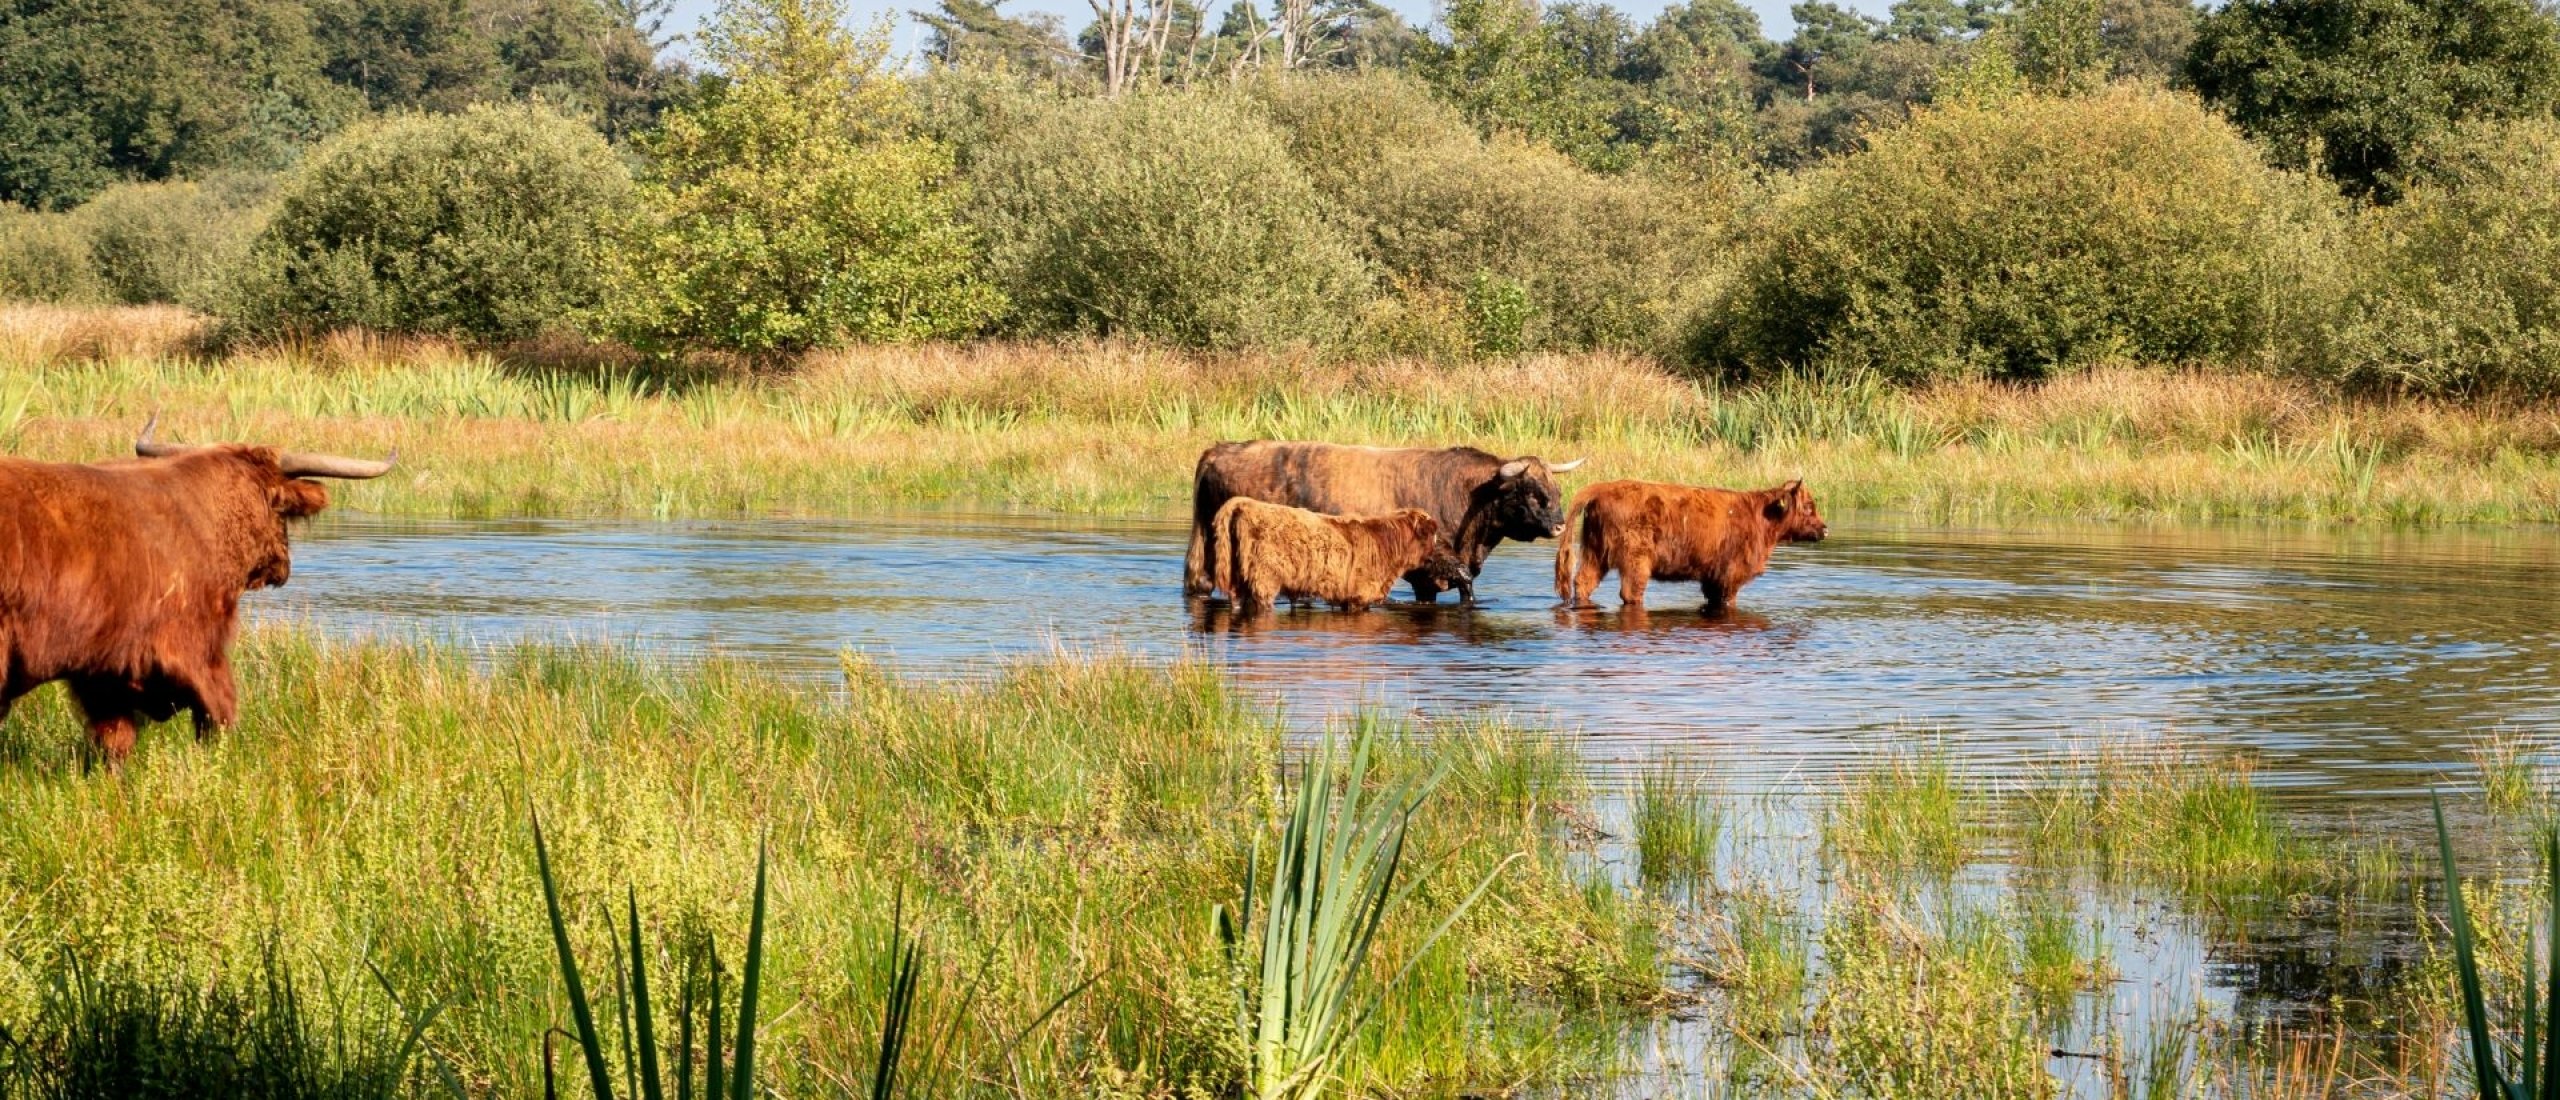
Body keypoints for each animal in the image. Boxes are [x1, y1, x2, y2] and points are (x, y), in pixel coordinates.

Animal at [0, 416, 389, 762]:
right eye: (280, 514)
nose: (283, 566)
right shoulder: (196, 644)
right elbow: (218, 710)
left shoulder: (102, 668)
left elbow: (114, 737)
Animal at [1182, 440, 1576, 601]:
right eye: (1531, 491)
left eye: (1555, 488)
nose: (1559, 525)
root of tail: (1220, 449)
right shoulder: (1432, 563)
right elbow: (1463, 581)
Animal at [1213, 501, 1454, 613]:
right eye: (1432, 536)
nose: (1438, 555)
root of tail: (1244, 504)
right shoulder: (1359, 595)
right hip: (1264, 581)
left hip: (1238, 581)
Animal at [1546, 478, 1832, 613]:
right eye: (1808, 506)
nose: (1825, 528)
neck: (1761, 518)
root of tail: (1602, 488)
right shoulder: (1730, 576)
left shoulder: (1712, 578)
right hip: (1636, 559)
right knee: (1630, 592)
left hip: (1596, 552)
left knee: (1583, 582)